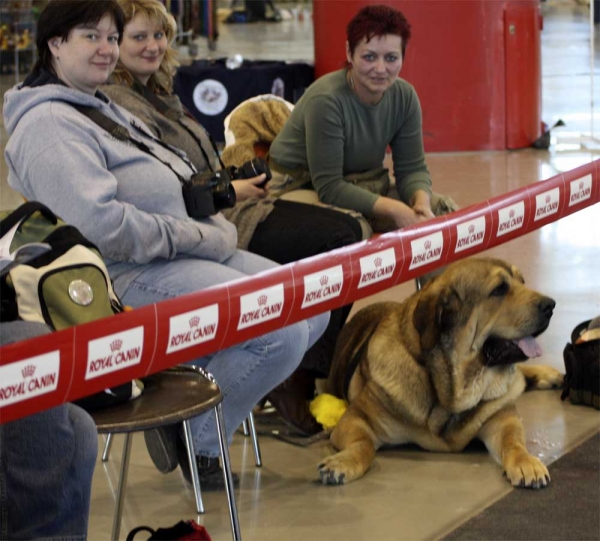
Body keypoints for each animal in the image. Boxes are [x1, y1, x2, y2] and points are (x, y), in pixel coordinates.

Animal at [322, 255, 564, 488]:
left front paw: (526, 462)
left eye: (522, 281)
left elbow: (513, 441)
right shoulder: (356, 418)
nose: (550, 305)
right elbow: (365, 444)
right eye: (498, 290)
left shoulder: (502, 417)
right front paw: (342, 463)